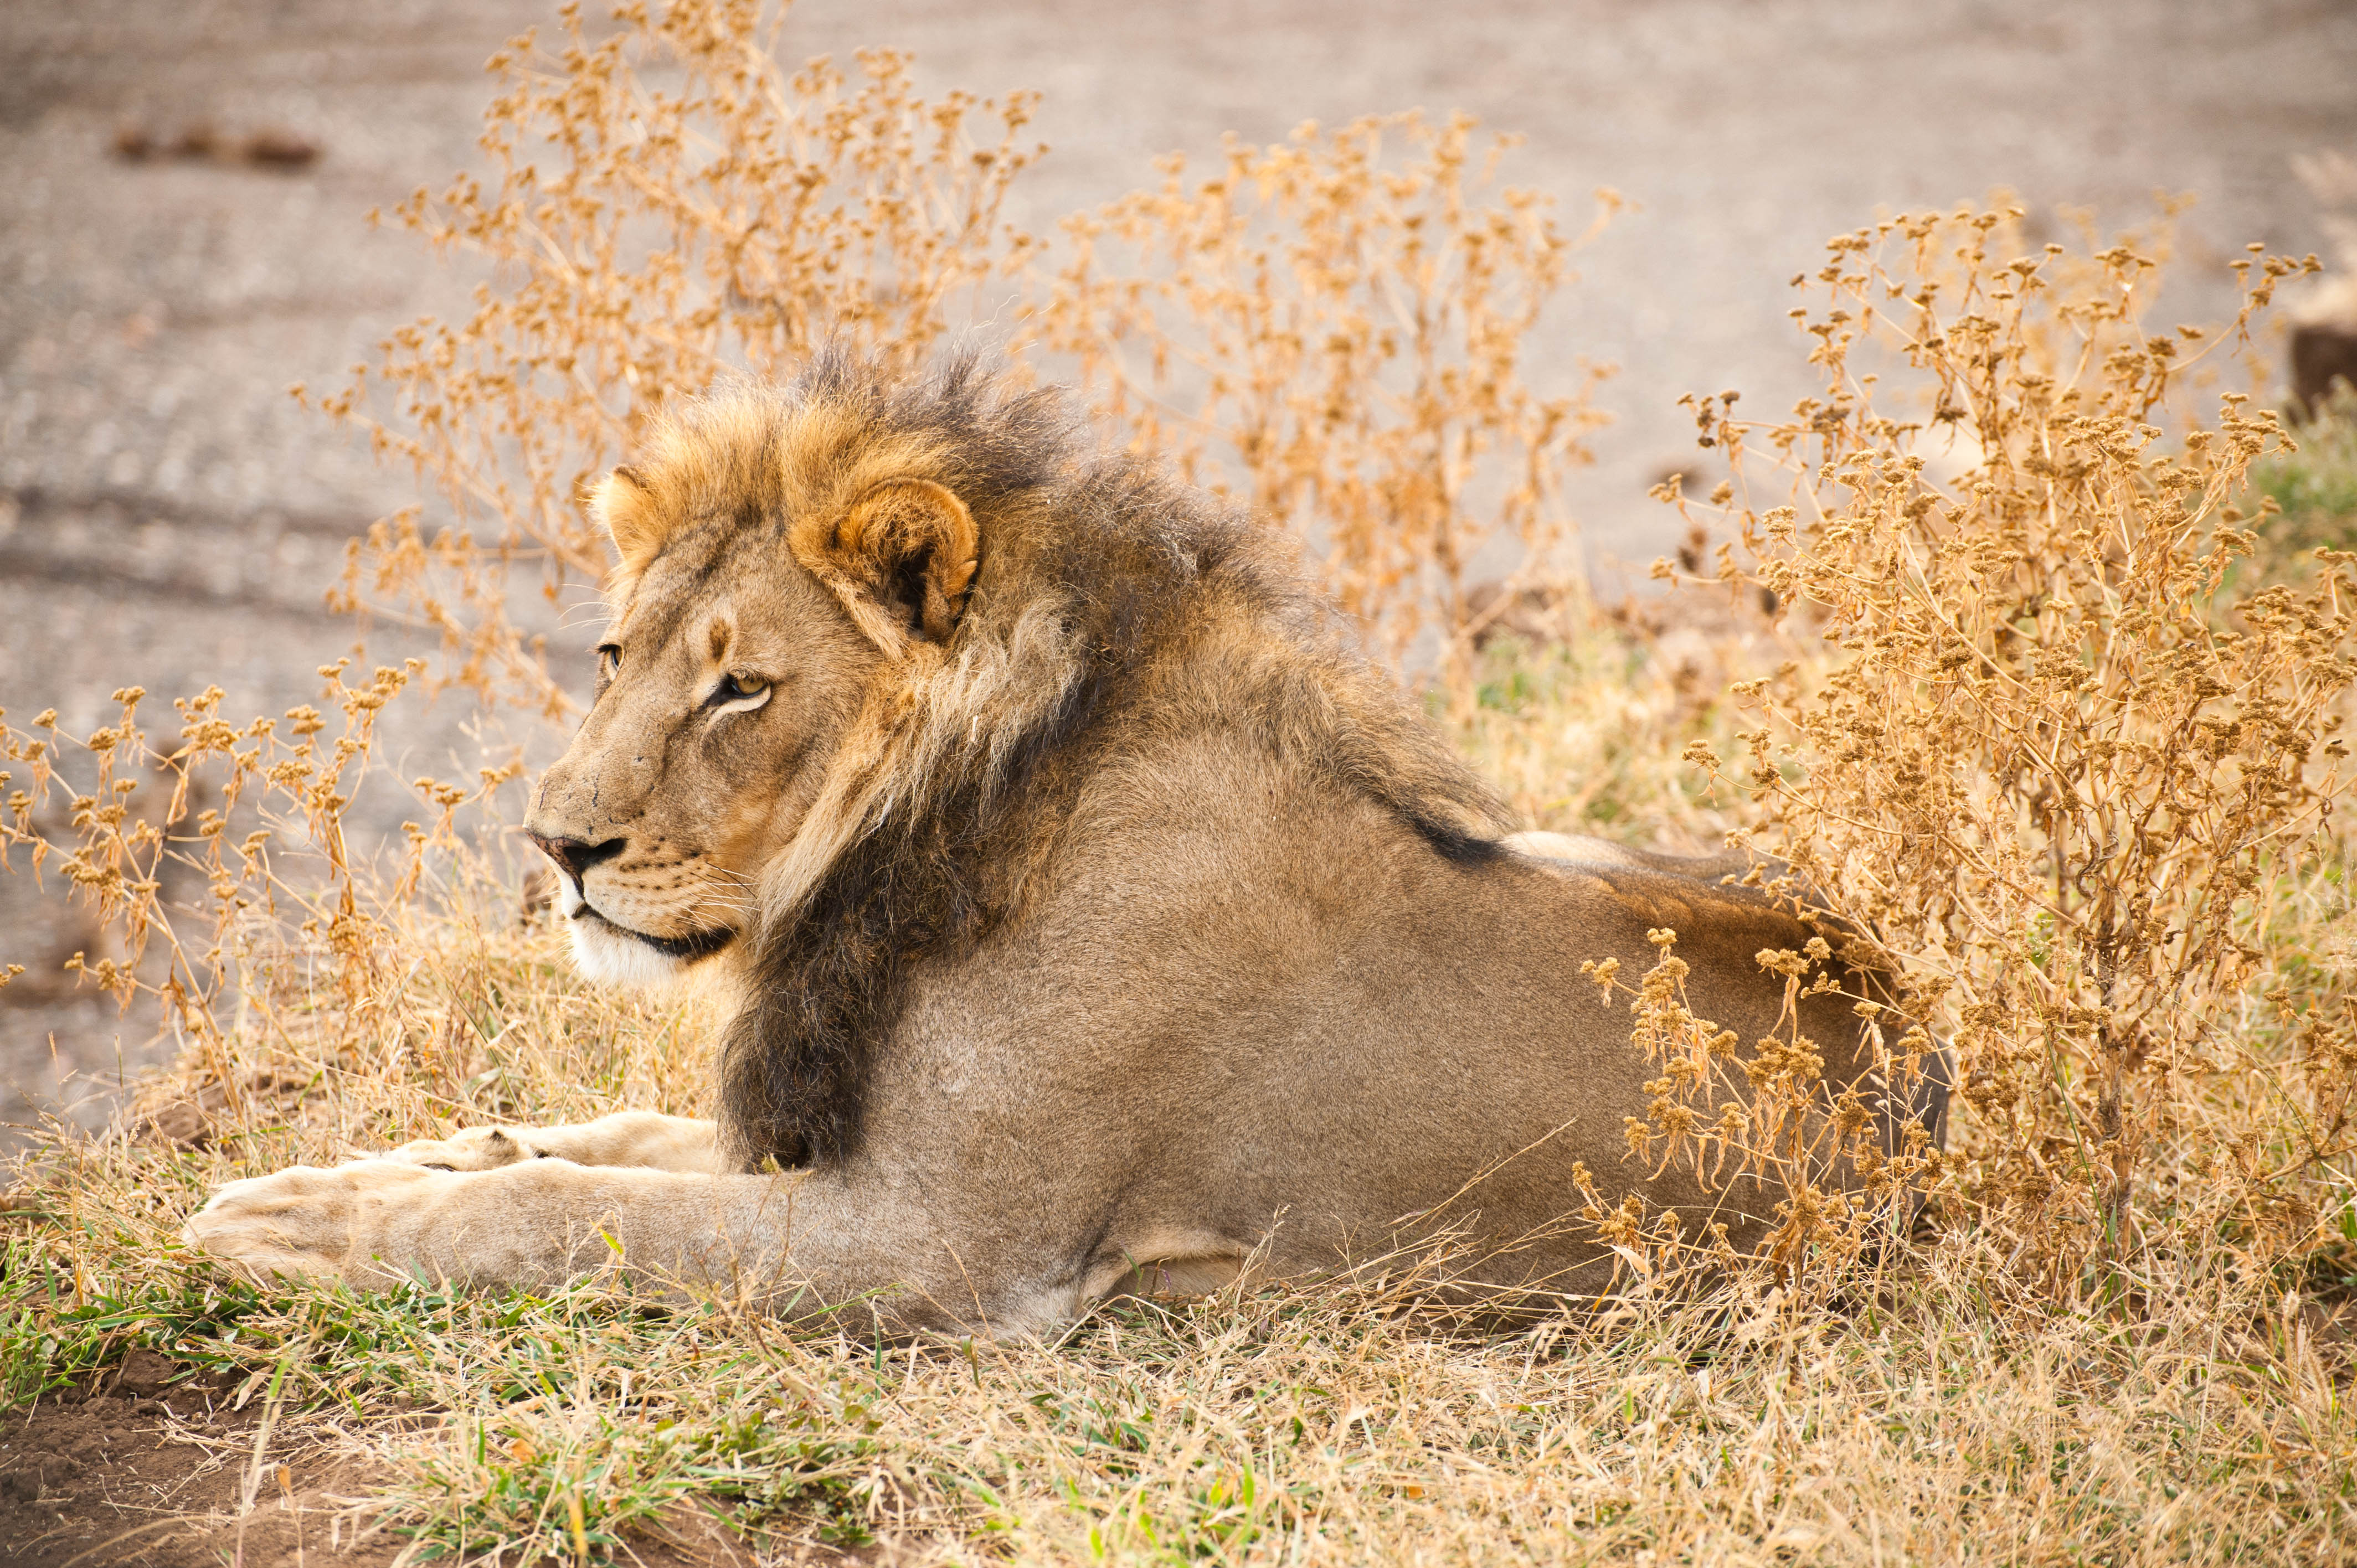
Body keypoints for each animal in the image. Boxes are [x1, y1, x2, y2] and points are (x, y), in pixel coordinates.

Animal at [188, 353, 1951, 1329]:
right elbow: (589, 1142)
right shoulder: (839, 1146)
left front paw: (325, 1230)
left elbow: (559, 1211)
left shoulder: (946, 1246)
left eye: (743, 686)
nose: (557, 848)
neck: (922, 839)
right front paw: (350, 1171)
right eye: (616, 656)